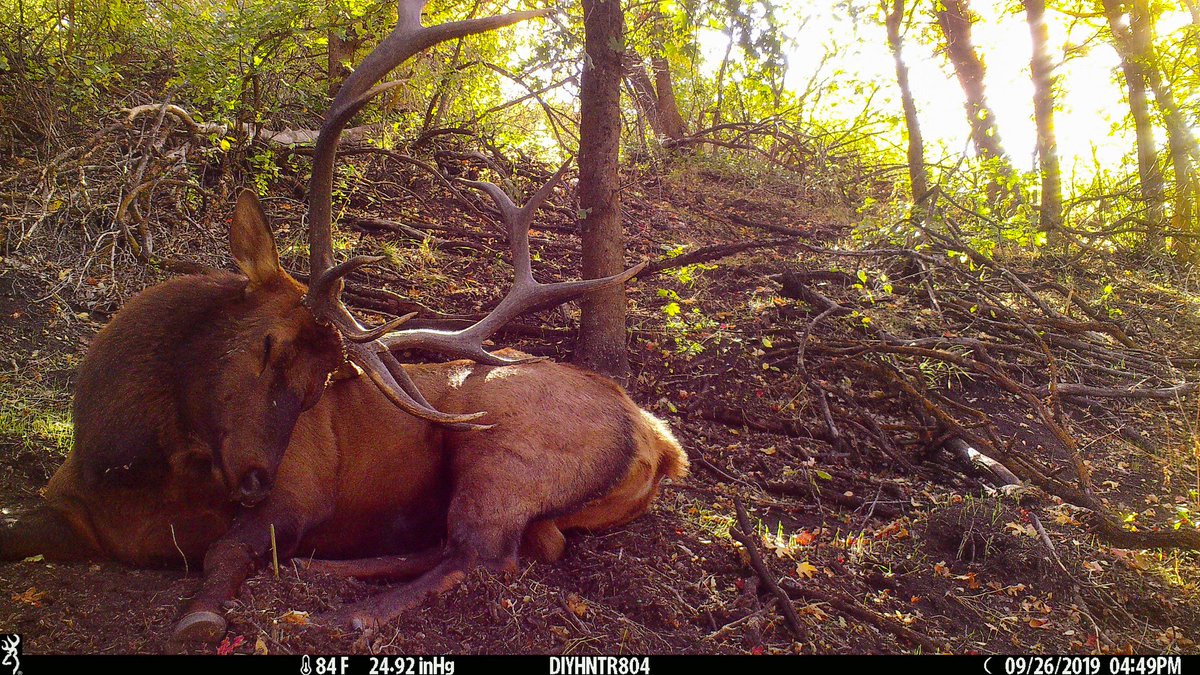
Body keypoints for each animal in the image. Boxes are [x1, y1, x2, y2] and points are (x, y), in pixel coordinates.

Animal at [0, 1, 687, 644]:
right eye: (269, 346)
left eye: (319, 386)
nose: (253, 479)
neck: (124, 467)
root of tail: (660, 441)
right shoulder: (67, 507)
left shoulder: (299, 491)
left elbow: (225, 552)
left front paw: (201, 613)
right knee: (499, 546)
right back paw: (324, 574)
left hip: (505, 449)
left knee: (487, 556)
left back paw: (342, 612)